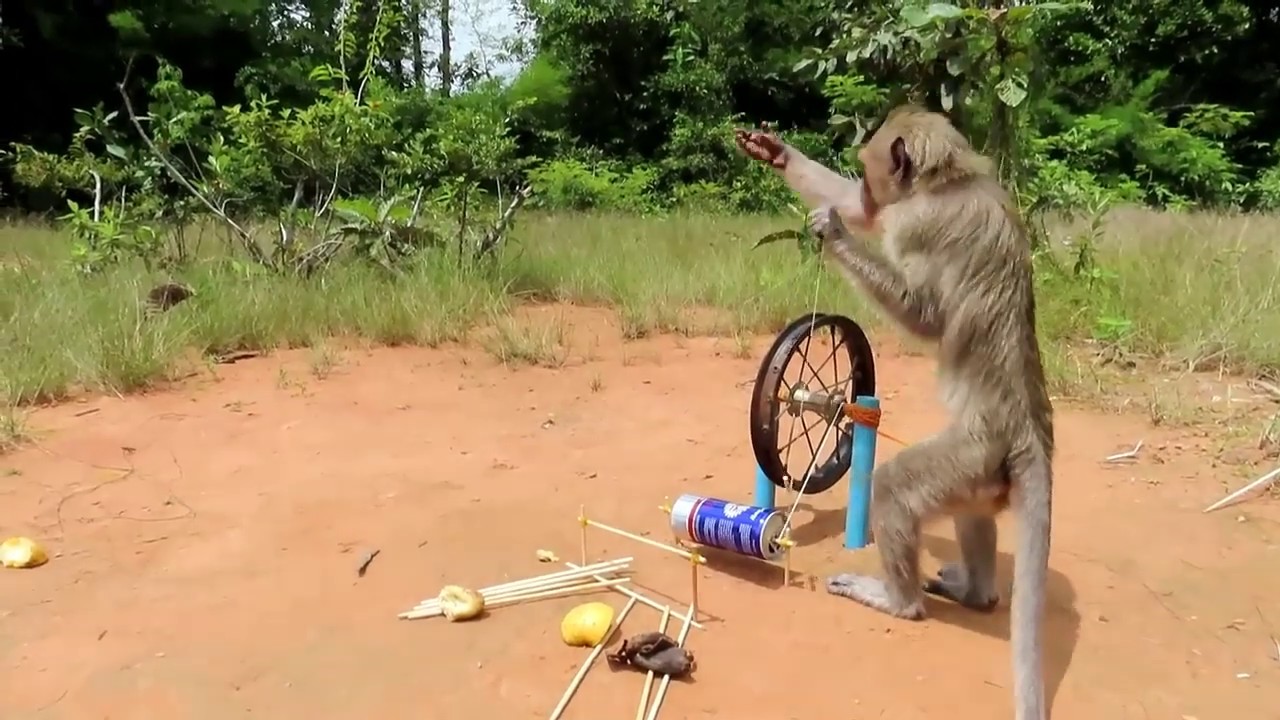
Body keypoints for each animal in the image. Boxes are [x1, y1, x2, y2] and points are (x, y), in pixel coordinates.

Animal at [735, 109, 1055, 720]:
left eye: (870, 170)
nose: (865, 187)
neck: (950, 182)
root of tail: (1029, 433)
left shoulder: (919, 223)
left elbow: (926, 316)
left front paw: (835, 228)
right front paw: (775, 152)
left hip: (973, 455)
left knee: (895, 488)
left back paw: (897, 601)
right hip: (984, 474)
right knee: (970, 512)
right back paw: (974, 593)